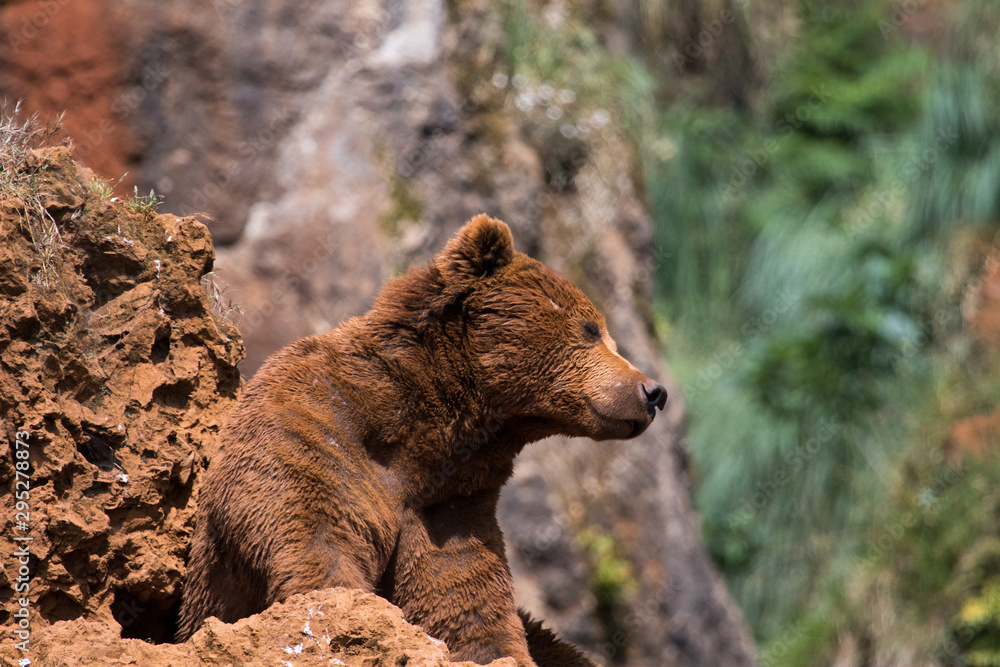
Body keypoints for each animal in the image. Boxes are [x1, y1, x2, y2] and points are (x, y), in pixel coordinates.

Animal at [176, 214, 667, 666]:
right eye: (591, 329)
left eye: (604, 332)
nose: (653, 392)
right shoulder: (319, 426)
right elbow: (312, 530)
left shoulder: (448, 501)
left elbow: (463, 592)